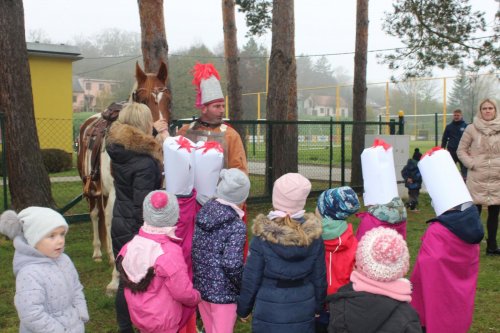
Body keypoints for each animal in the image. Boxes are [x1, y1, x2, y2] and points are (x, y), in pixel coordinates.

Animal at [77, 60, 171, 294]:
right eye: (143, 100)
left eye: (168, 99)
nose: (162, 139)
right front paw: (114, 281)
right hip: (91, 187)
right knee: (96, 215)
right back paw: (98, 252)